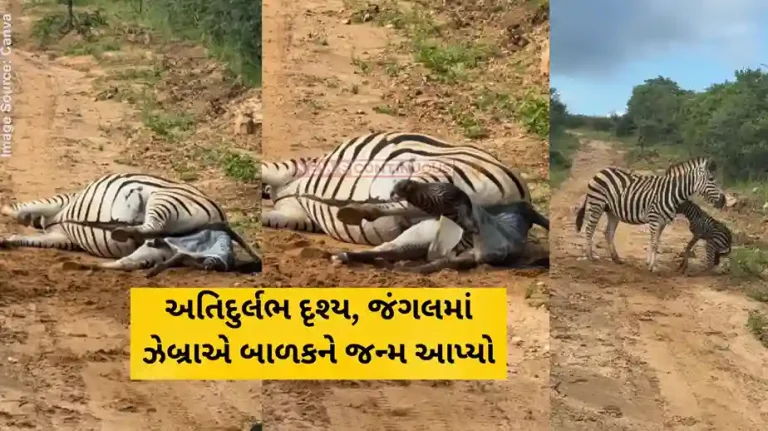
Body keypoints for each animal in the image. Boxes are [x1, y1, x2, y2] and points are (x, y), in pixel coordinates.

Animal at [0, 173, 262, 276]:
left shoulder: (60, 202)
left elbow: (19, 208)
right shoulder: (60, 236)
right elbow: (29, 237)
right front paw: (7, 240)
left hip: (165, 199)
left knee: (150, 226)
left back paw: (122, 226)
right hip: (160, 250)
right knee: (126, 262)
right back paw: (77, 265)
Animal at [261, 131, 531, 247]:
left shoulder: (291, 168)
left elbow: (265, 168)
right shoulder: (297, 213)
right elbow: (273, 216)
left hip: (443, 168)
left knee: (408, 194)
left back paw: (354, 208)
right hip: (436, 223)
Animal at [333, 179, 550, 273]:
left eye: (448, 196)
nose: (402, 185)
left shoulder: (463, 258)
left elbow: (431, 266)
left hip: (411, 244)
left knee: (385, 252)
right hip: (412, 239)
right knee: (382, 249)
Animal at [575, 157, 726, 272]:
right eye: (711, 179)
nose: (723, 201)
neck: (671, 193)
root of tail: (601, 171)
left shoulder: (663, 222)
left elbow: (656, 242)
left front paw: (652, 263)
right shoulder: (654, 219)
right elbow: (653, 244)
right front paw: (652, 267)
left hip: (612, 211)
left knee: (608, 233)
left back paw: (616, 258)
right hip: (597, 204)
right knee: (589, 229)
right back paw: (590, 256)